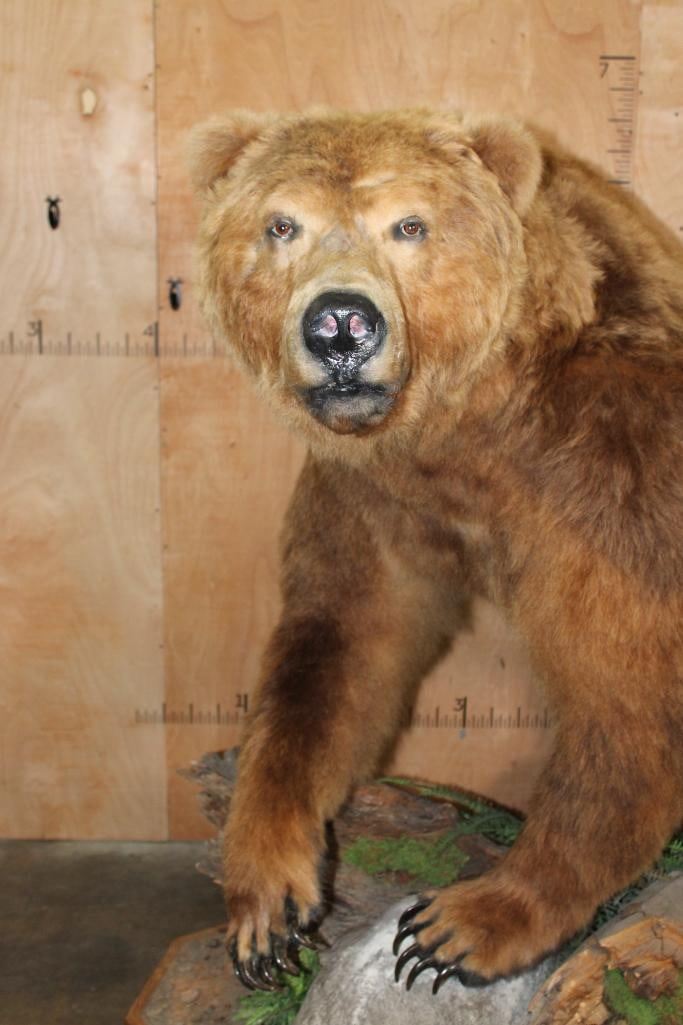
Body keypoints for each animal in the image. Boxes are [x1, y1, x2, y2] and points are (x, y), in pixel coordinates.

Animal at [188, 108, 683, 994]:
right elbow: (338, 648)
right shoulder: (376, 493)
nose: (340, 323)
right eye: (282, 224)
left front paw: (461, 924)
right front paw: (266, 906)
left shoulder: (616, 487)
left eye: (409, 224)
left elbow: (626, 704)